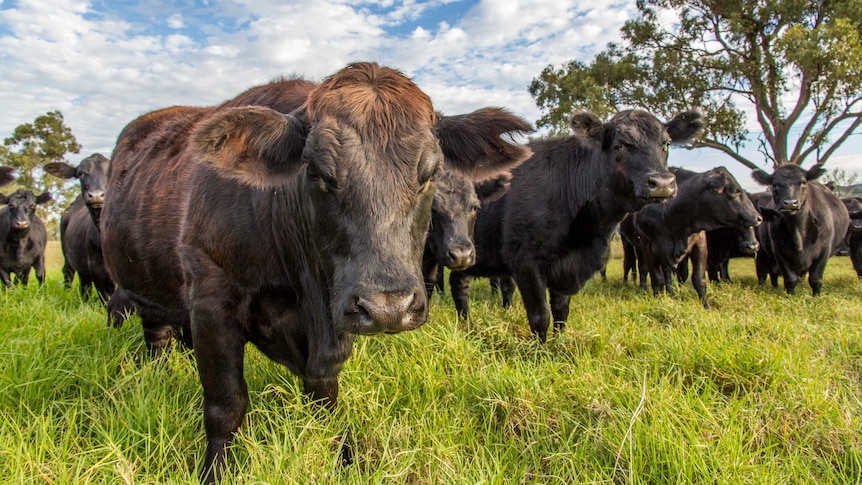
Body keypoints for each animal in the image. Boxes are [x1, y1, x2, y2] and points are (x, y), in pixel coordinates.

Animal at [99, 62, 532, 482]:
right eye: (319, 174)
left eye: (429, 174)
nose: (389, 308)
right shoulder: (212, 305)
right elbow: (226, 405)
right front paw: (214, 472)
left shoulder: (332, 325)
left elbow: (324, 398)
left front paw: (340, 458)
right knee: (156, 338)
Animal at [448, 108, 704, 340]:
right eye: (619, 145)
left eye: (666, 144)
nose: (662, 183)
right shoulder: (525, 261)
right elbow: (540, 315)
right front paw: (540, 351)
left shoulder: (567, 269)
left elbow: (561, 311)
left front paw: (558, 344)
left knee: (459, 283)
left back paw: (466, 325)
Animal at [620, 166, 764, 308]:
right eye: (735, 191)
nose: (758, 218)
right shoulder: (647, 246)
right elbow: (657, 279)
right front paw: (658, 302)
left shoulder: (699, 244)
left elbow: (697, 278)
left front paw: (706, 307)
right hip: (630, 243)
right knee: (638, 266)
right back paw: (640, 288)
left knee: (666, 271)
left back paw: (670, 292)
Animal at [756, 163, 852, 294]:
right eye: (775, 185)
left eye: (803, 182)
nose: (790, 203)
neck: (798, 231)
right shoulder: (779, 251)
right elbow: (790, 279)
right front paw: (790, 296)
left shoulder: (824, 251)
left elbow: (815, 279)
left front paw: (816, 296)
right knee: (766, 271)